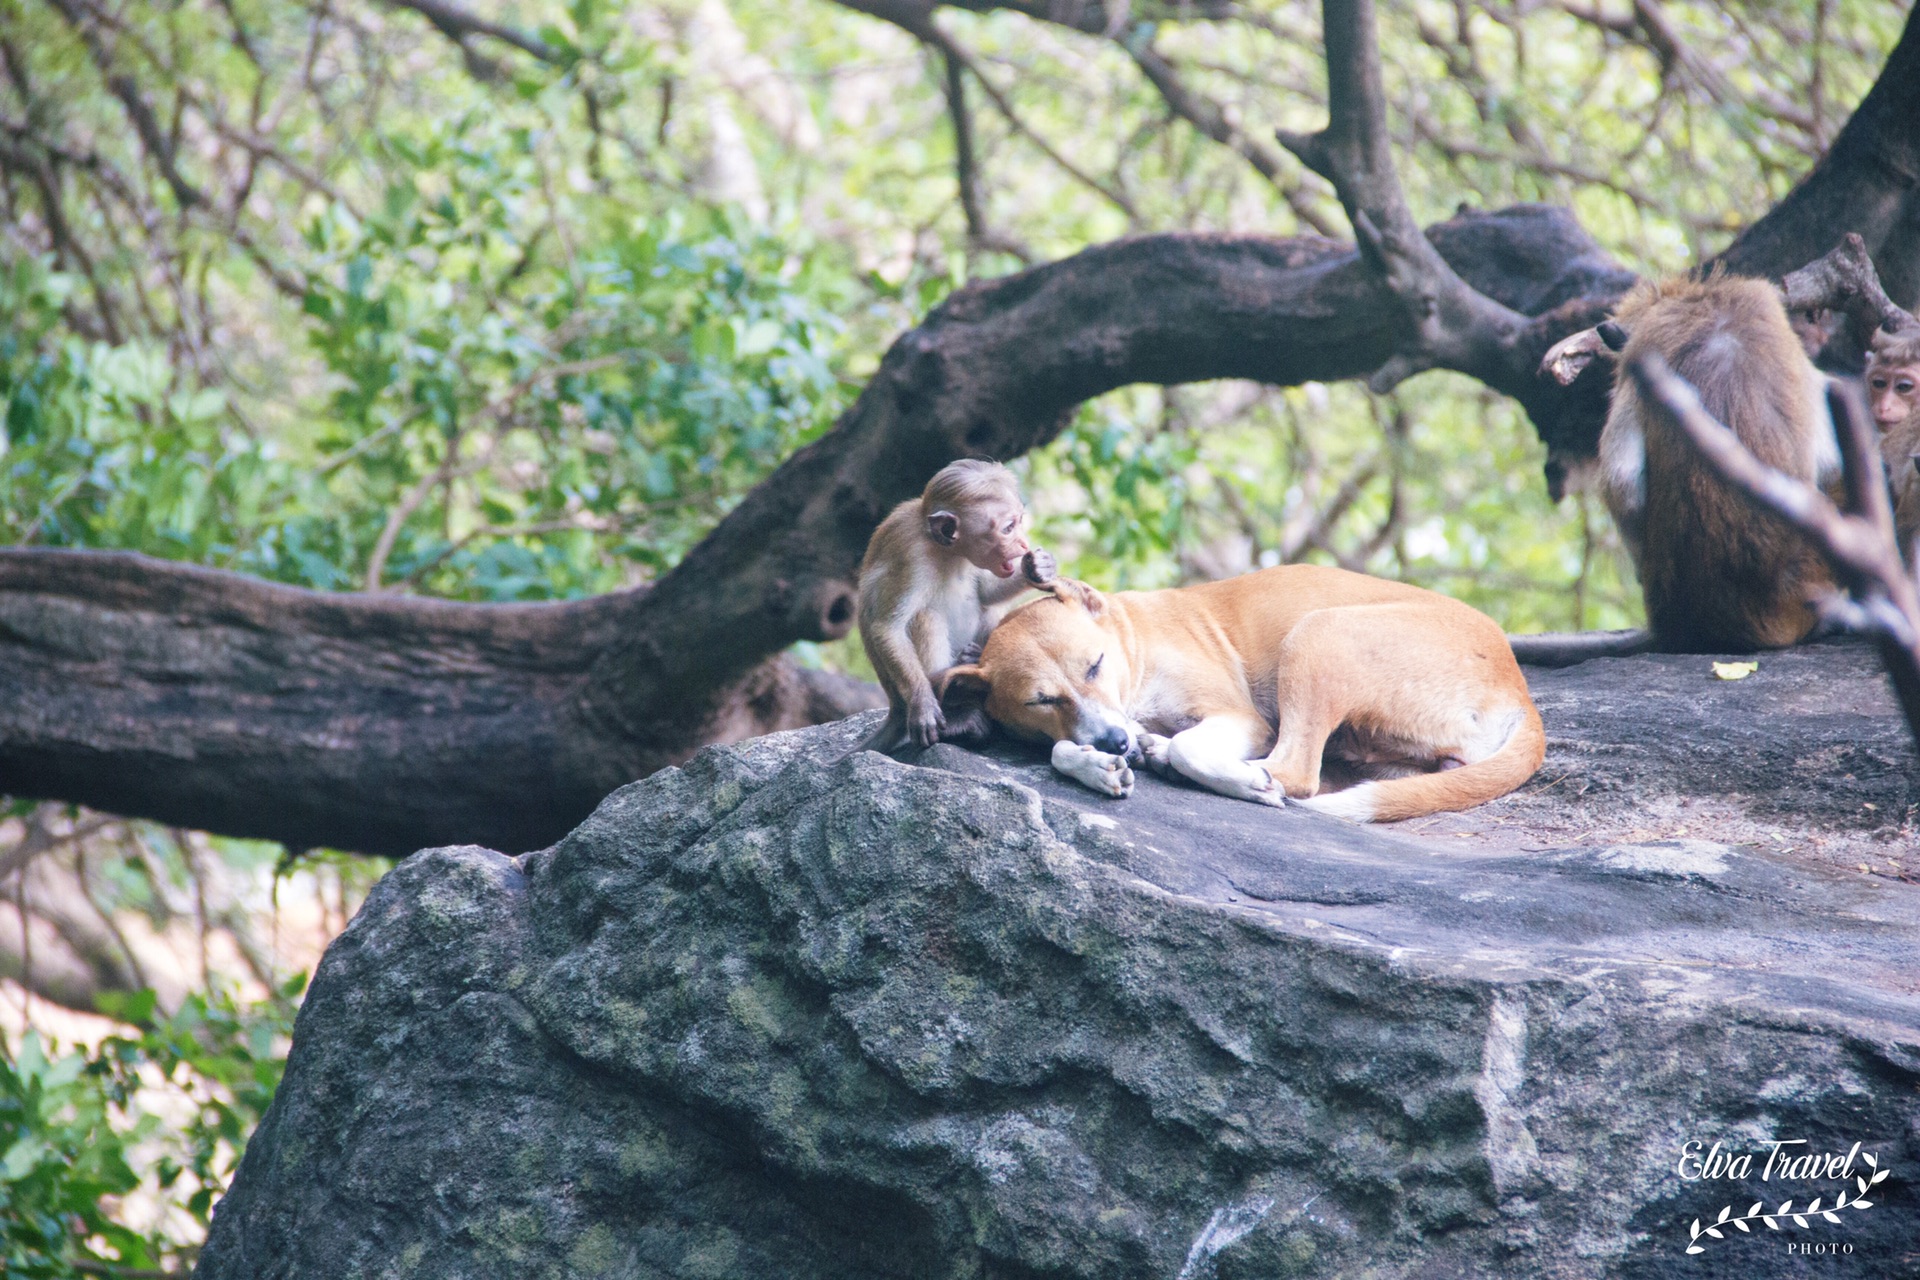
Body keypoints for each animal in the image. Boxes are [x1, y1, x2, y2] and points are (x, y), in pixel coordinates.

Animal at [856, 460, 1059, 756]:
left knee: (987, 608)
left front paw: (1038, 567)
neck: (948, 550)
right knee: (926, 617)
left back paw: (976, 658)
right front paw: (923, 705)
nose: (1023, 543)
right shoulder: (910, 553)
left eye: (1019, 522)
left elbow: (987, 593)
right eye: (1008, 528)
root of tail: (895, 708)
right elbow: (887, 627)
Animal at [936, 564, 1551, 825]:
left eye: (1095, 665)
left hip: (1317, 633)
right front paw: (1099, 766)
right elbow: (1063, 747)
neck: (1132, 642)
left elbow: (1193, 743)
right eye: (1040, 701)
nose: (1113, 742)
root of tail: (1520, 692)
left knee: (1296, 773)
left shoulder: (1243, 718)